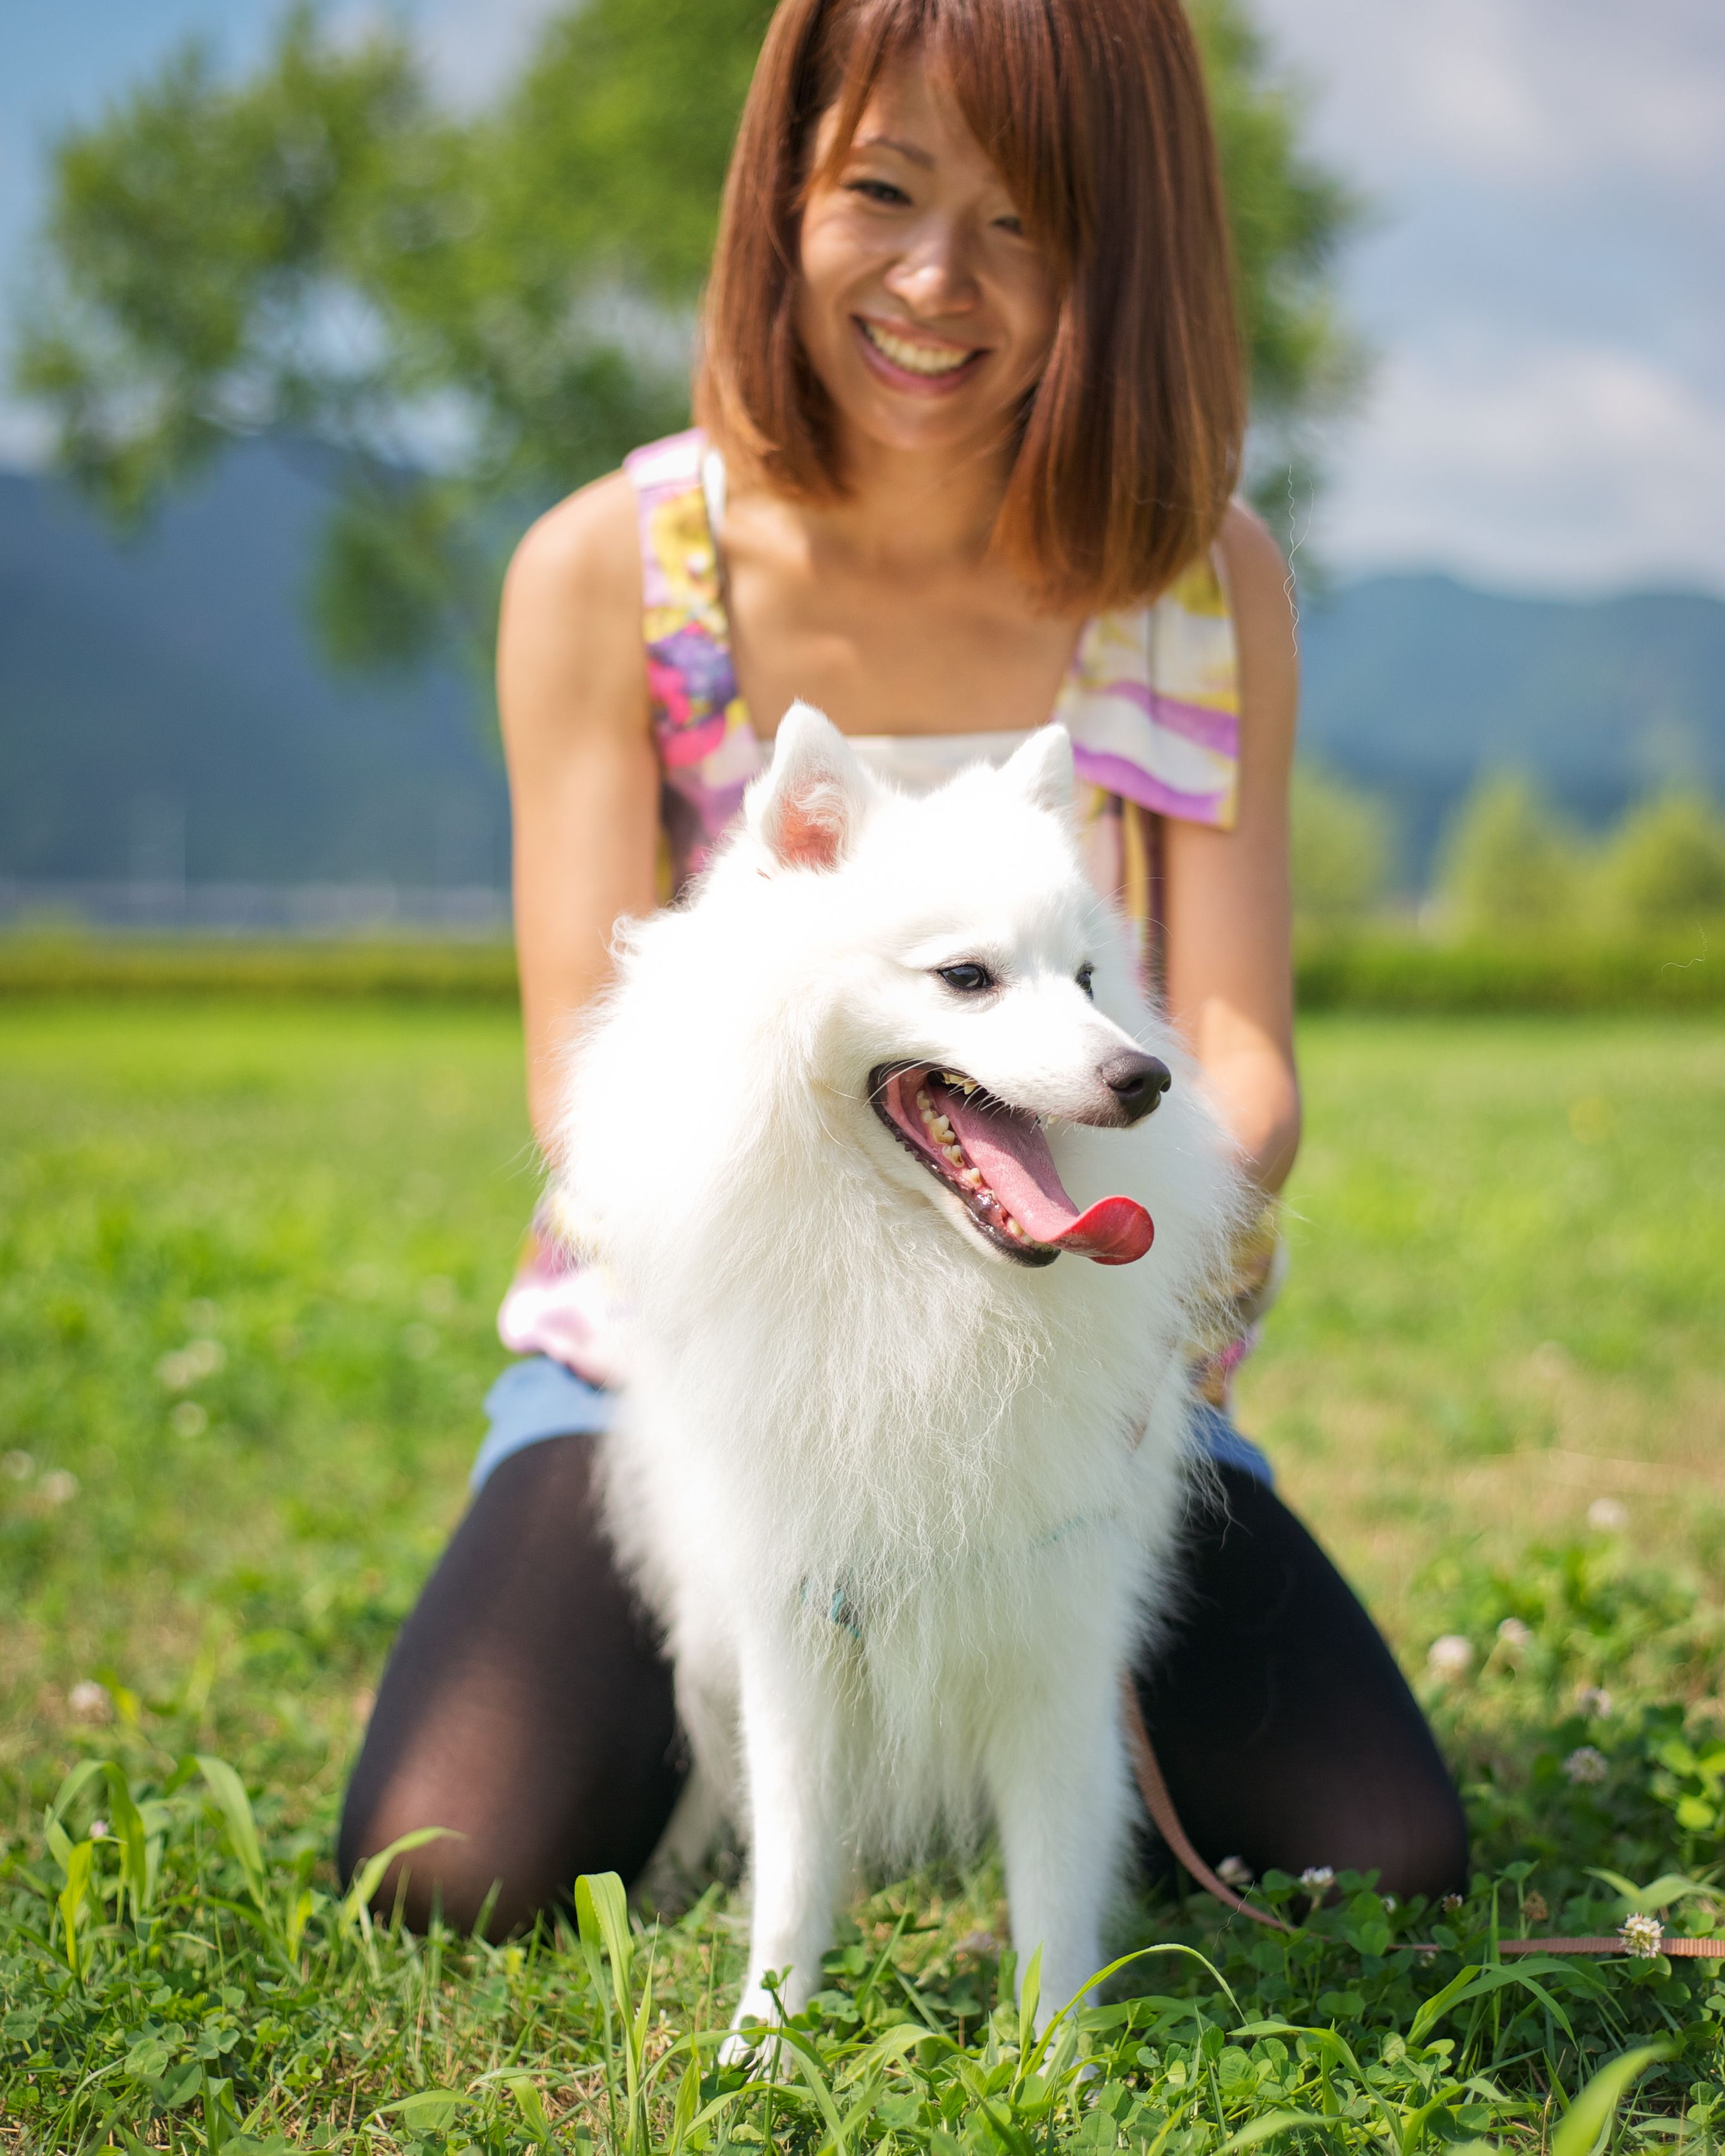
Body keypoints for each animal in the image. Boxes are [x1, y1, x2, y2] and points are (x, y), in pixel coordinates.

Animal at [551, 707, 1242, 2035]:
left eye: (1089, 979)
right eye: (966, 977)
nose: (1143, 1077)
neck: (929, 1289)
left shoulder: (1056, 1628)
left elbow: (1052, 1882)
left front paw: (1053, 2054)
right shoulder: (795, 1622)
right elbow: (793, 1863)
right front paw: (760, 2038)